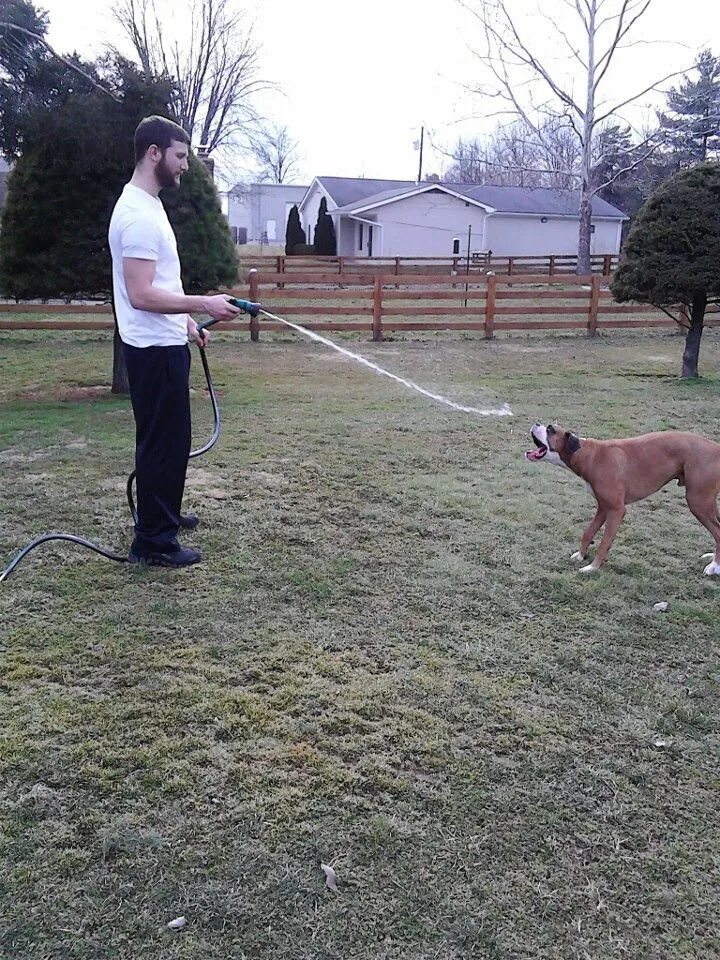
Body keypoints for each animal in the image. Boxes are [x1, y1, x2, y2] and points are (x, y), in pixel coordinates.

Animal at [524, 420, 720, 568]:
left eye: (551, 430)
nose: (536, 422)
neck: (589, 454)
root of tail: (716, 448)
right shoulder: (603, 508)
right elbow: (588, 532)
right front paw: (580, 556)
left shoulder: (616, 511)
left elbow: (604, 542)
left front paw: (592, 568)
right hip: (708, 503)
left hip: (698, 502)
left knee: (717, 532)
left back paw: (714, 567)